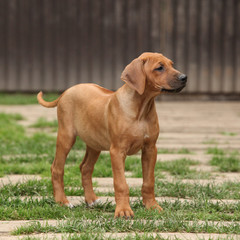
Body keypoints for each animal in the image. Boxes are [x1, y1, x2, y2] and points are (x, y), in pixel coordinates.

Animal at [37, 52, 188, 218]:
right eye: (159, 68)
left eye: (172, 64)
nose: (184, 77)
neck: (141, 109)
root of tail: (66, 91)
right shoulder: (117, 151)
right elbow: (121, 183)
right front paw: (123, 210)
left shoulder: (150, 149)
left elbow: (149, 181)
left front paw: (151, 206)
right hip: (66, 136)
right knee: (56, 169)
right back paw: (62, 201)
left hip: (94, 143)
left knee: (85, 167)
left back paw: (91, 200)